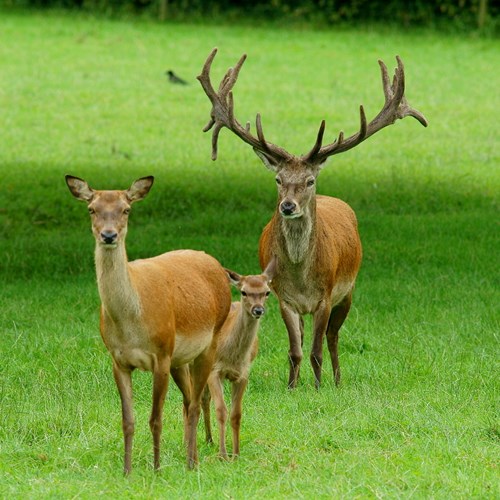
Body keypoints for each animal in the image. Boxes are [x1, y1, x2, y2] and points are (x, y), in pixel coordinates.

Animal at [64, 175, 232, 472]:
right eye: (92, 209)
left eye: (126, 209)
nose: (109, 235)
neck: (132, 322)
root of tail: (215, 264)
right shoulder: (118, 360)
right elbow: (127, 420)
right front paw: (127, 471)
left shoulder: (161, 355)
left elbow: (155, 418)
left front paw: (156, 469)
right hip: (180, 358)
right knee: (189, 399)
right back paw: (191, 456)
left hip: (209, 342)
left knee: (196, 402)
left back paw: (192, 463)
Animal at [197, 48, 428, 388]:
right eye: (278, 179)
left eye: (309, 180)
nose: (288, 206)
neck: (302, 277)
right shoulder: (282, 298)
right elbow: (295, 350)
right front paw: (292, 387)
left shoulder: (326, 296)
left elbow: (318, 349)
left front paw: (319, 388)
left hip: (349, 290)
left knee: (333, 337)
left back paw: (337, 380)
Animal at [201, 260, 276, 458]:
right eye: (244, 291)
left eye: (267, 292)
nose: (258, 310)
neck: (232, 356)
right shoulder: (214, 370)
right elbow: (221, 410)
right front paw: (222, 455)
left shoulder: (243, 374)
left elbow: (236, 413)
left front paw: (236, 454)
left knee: (203, 399)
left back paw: (209, 439)